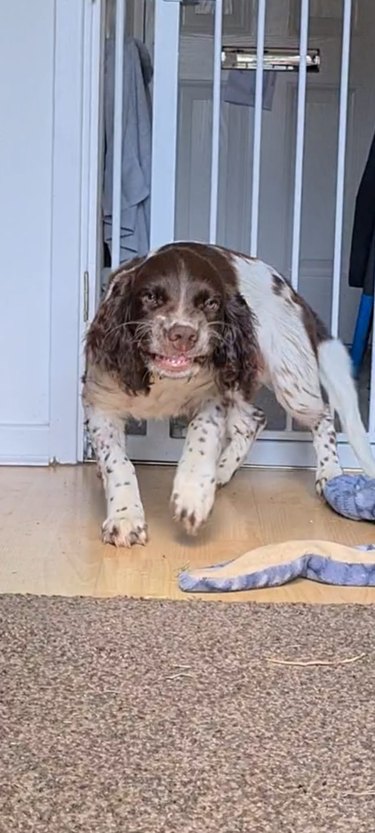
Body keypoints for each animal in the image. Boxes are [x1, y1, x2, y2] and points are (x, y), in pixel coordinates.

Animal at [83, 240, 375, 544]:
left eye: (211, 303)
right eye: (150, 297)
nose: (183, 335)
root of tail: (290, 290)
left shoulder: (213, 395)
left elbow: (200, 438)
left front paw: (193, 496)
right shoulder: (101, 403)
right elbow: (118, 461)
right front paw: (125, 517)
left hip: (289, 380)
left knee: (322, 418)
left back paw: (330, 473)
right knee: (254, 419)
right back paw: (222, 470)